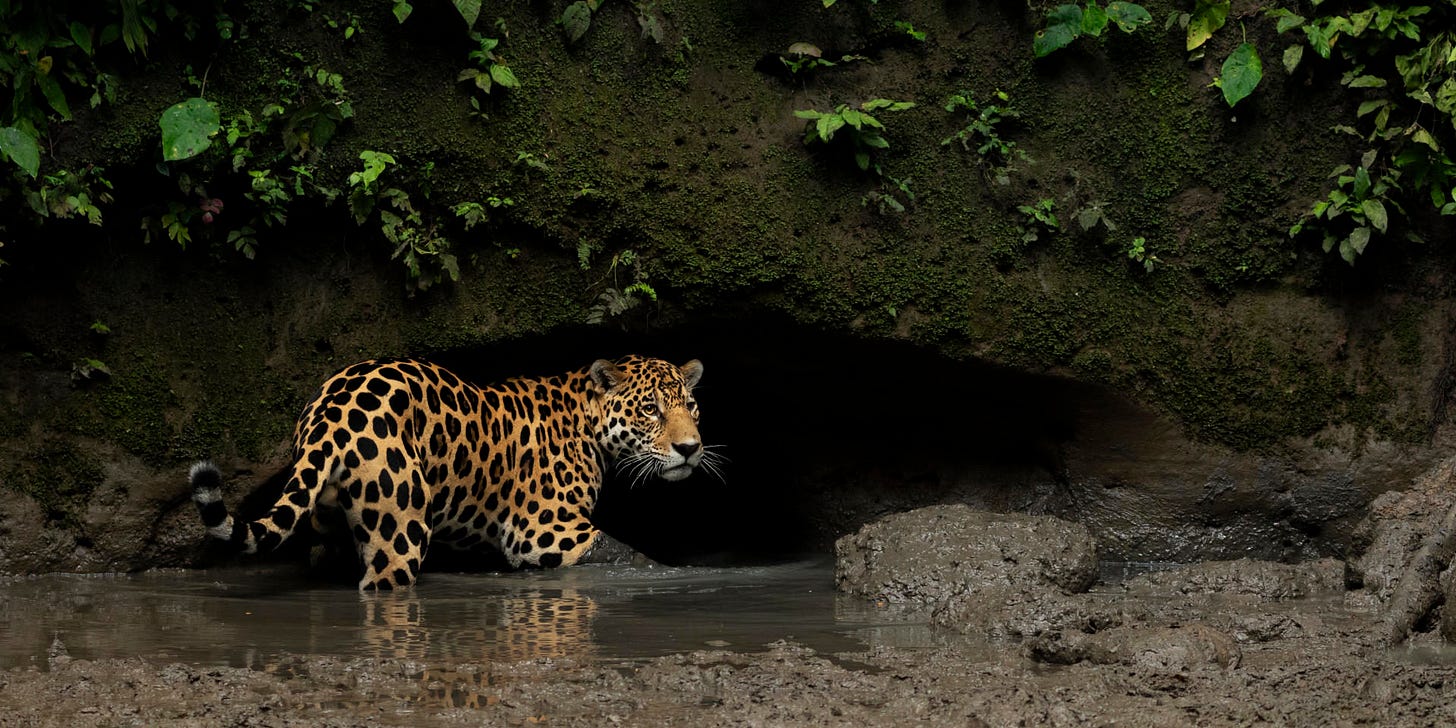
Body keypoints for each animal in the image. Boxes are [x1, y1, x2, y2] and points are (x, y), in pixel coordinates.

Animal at [189, 355, 713, 590]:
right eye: (650, 410)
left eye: (690, 407)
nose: (690, 449)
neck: (585, 423)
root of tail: (332, 410)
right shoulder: (544, 530)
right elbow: (623, 552)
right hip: (400, 532)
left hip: (329, 517)